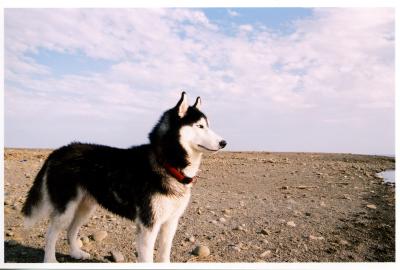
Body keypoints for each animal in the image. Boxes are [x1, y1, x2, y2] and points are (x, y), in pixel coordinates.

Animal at [21, 92, 227, 262]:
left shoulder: (170, 222)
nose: (224, 142)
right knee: (51, 233)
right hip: (66, 208)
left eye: (208, 126)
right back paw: (50, 261)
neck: (166, 162)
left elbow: (164, 254)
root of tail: (57, 151)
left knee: (71, 230)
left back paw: (76, 253)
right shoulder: (148, 225)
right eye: (200, 126)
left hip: (85, 207)